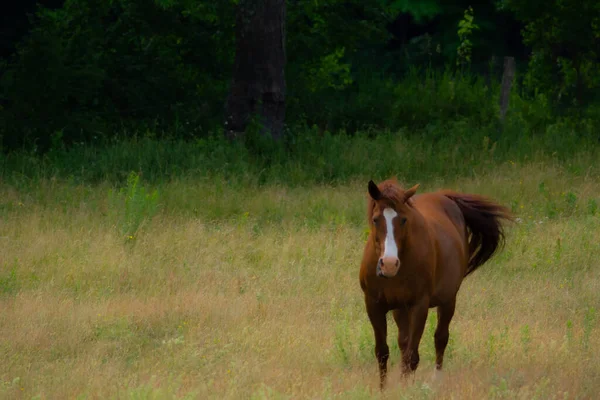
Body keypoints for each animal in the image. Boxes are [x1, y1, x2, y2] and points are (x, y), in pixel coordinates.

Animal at [358, 178, 512, 388]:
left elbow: (412, 356)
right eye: (375, 219)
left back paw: (437, 378)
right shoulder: (373, 305)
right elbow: (383, 353)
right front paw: (384, 389)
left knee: (440, 337)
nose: (389, 264)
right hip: (400, 308)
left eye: (403, 219)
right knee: (403, 342)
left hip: (448, 300)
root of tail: (446, 198)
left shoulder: (419, 305)